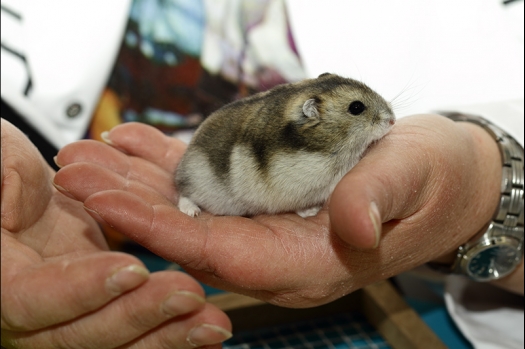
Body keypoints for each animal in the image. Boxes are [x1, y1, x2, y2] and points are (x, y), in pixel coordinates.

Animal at [174, 72, 396, 216]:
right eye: (356, 107)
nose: (393, 120)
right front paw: (311, 211)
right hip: (196, 180)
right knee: (183, 194)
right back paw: (191, 212)